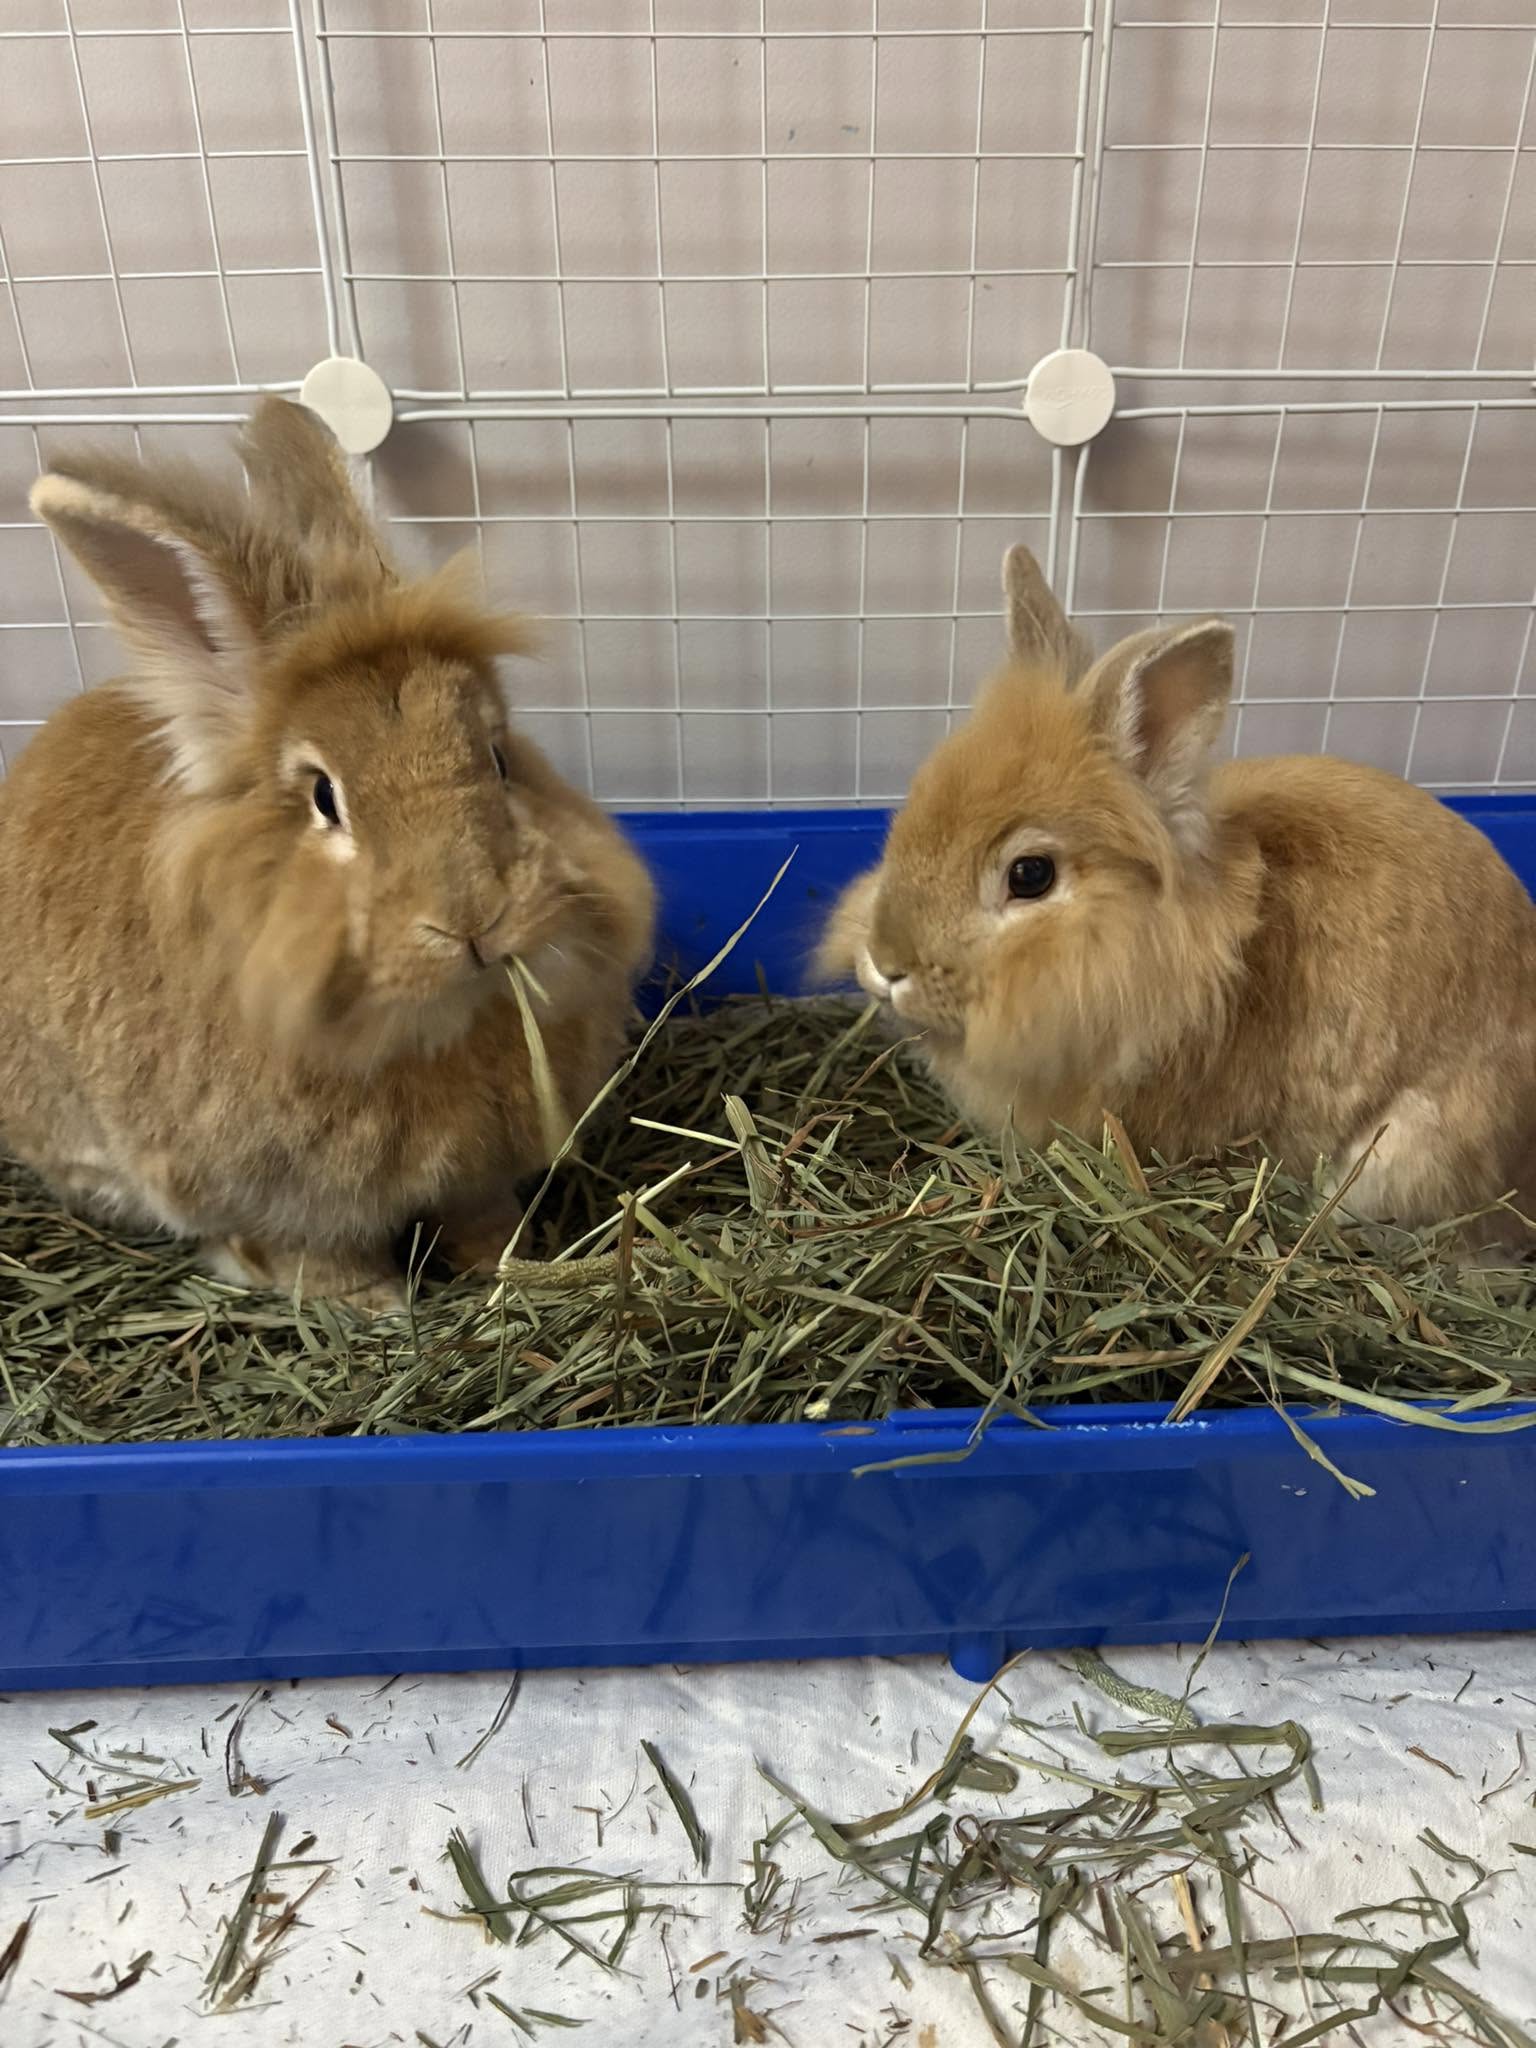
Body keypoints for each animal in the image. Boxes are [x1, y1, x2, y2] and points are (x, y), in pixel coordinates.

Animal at [0, 397, 655, 1308]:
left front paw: (504, 1261)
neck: (422, 1026)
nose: (473, 922)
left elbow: (480, 1219)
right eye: (323, 798)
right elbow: (313, 1258)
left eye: (497, 754)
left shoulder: (475, 1177)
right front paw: (377, 1304)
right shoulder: (273, 1201)